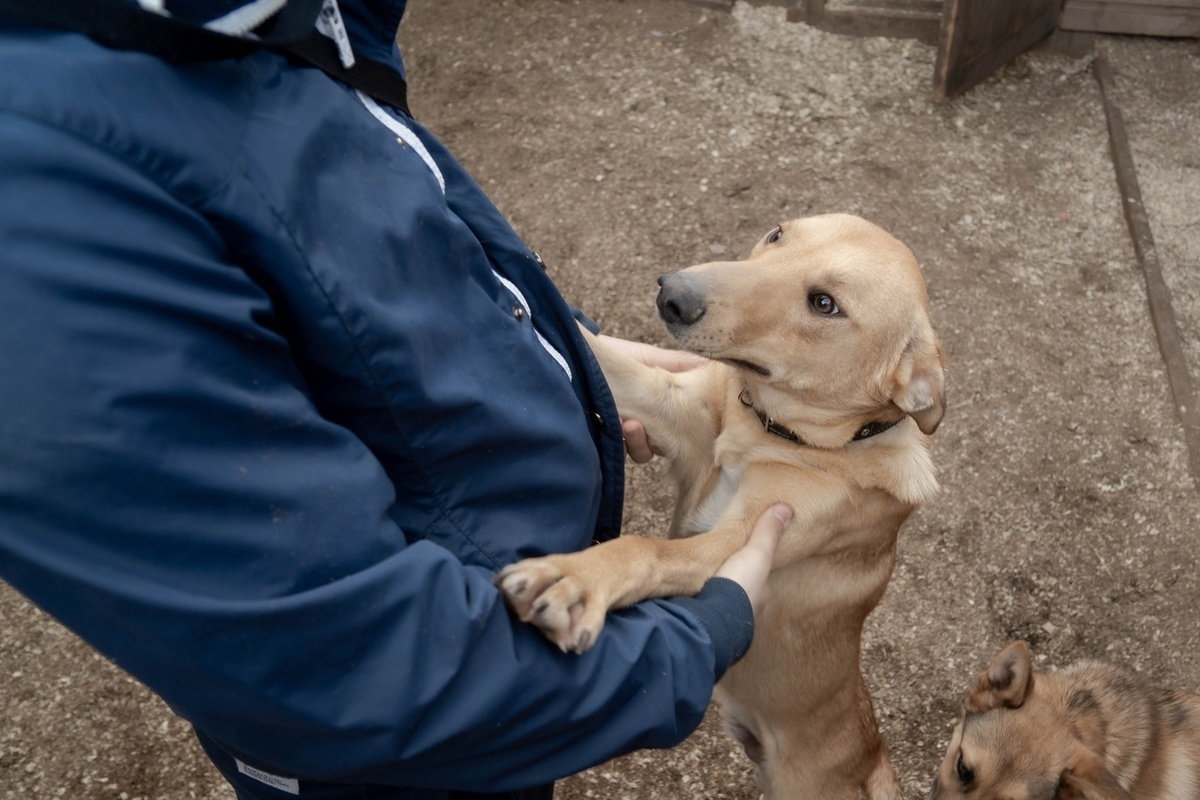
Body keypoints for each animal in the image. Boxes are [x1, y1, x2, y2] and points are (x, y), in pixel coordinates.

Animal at [496, 214, 945, 800]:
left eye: (824, 304)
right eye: (777, 234)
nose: (672, 294)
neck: (767, 429)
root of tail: (873, 763)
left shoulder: (734, 538)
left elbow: (643, 550)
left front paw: (576, 578)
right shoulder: (665, 400)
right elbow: (594, 348)